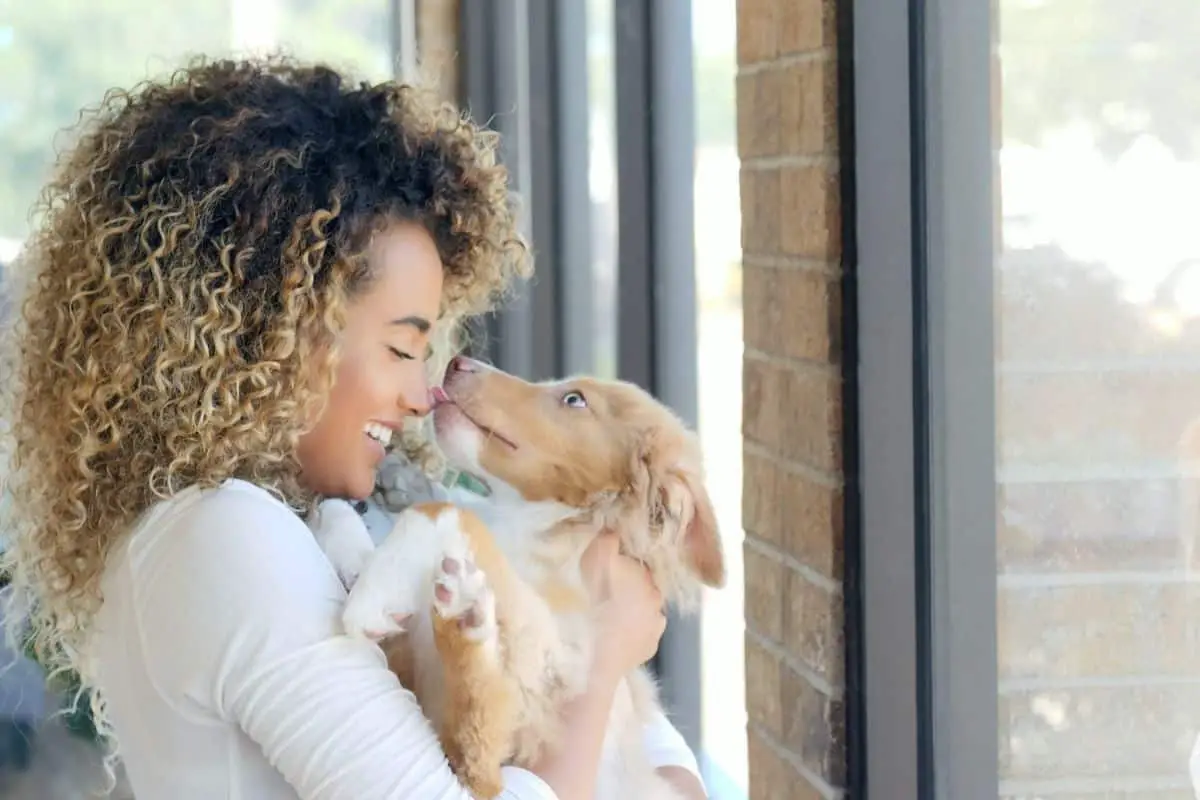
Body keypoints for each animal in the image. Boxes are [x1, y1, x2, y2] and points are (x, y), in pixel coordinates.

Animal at [309, 357, 720, 800]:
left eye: (574, 400)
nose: (456, 363)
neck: (533, 522)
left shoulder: (559, 659)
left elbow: (445, 511)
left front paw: (373, 592)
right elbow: (339, 507)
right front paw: (354, 554)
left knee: (480, 766)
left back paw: (465, 615)